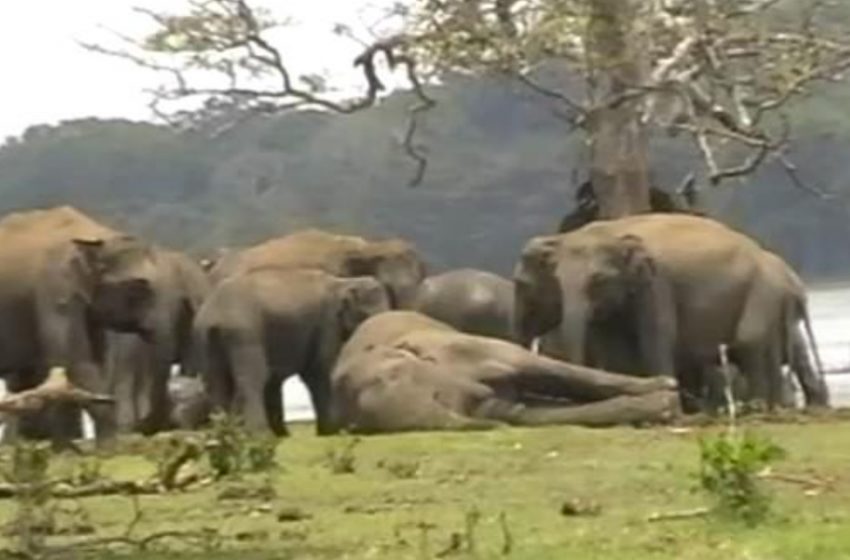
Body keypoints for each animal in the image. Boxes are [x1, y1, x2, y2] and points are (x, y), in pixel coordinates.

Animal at [0, 206, 189, 446]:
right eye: (139, 286)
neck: (98, 235)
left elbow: (97, 361)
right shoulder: (57, 291)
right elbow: (76, 362)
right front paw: (107, 447)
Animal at [192, 268, 388, 438]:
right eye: (368, 315)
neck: (343, 282)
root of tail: (215, 314)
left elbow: (275, 380)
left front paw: (285, 434)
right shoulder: (327, 324)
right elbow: (318, 371)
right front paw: (330, 432)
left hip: (205, 337)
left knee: (216, 383)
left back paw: (226, 435)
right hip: (244, 333)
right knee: (252, 379)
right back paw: (260, 435)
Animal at [328, 310, 680, 434]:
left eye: (425, 371)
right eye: (440, 400)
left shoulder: (462, 348)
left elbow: (542, 368)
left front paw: (665, 387)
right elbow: (528, 413)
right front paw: (662, 405)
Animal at [512, 214, 804, 412]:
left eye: (599, 280)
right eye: (557, 280)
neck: (614, 230)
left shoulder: (656, 285)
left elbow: (656, 337)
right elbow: (613, 347)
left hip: (763, 290)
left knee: (750, 342)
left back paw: (759, 409)